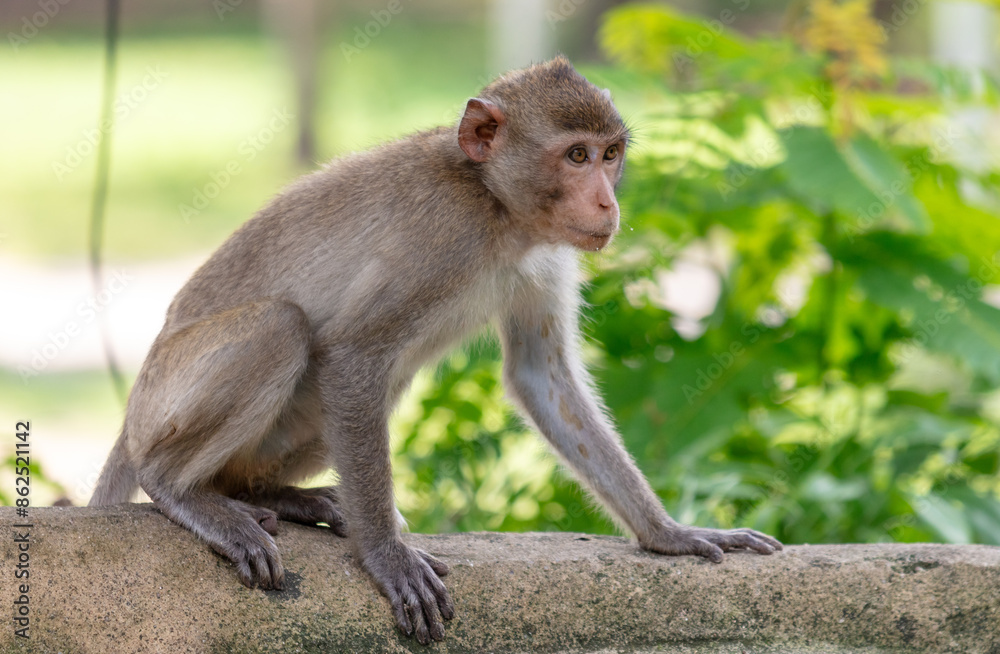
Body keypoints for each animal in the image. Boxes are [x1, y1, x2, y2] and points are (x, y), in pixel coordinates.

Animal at [89, 56, 782, 645]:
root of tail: (130, 423)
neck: (495, 207)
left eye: (611, 155)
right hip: (161, 403)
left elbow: (541, 376)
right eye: (576, 155)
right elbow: (353, 355)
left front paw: (670, 534)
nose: (609, 202)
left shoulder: (547, 253)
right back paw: (186, 491)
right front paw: (387, 558)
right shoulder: (441, 237)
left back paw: (270, 494)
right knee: (283, 327)